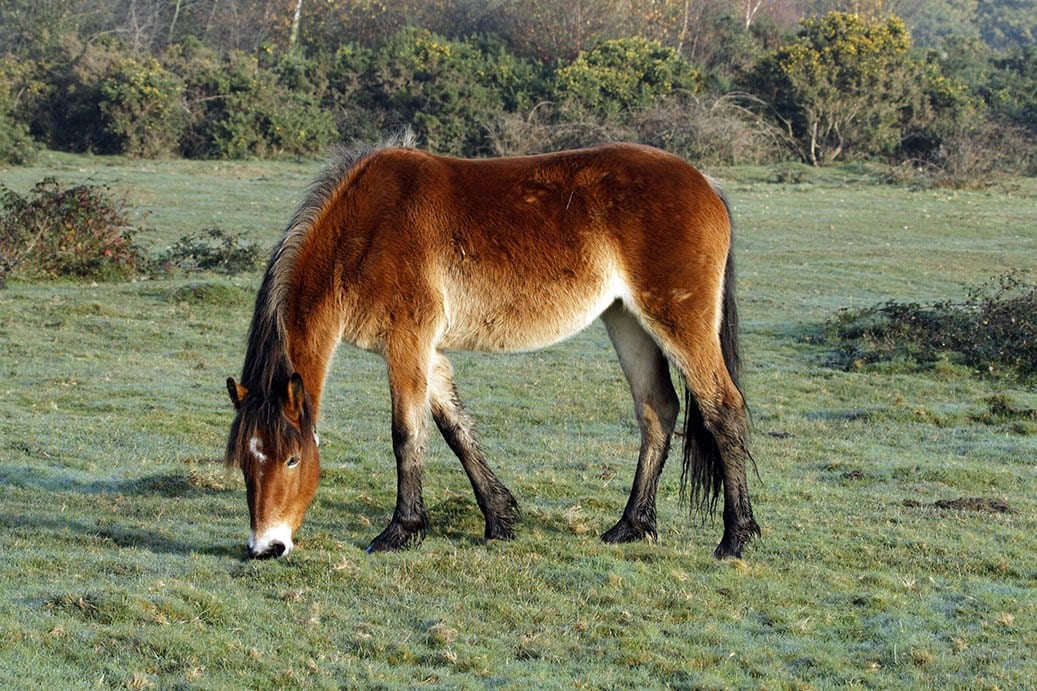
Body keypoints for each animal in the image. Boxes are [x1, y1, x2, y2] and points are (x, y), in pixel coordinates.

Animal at [225, 140, 763, 560]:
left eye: (293, 460)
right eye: (246, 464)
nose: (265, 547)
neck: (365, 230)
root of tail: (705, 181)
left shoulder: (407, 345)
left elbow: (407, 435)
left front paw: (401, 530)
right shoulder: (429, 353)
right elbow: (455, 429)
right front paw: (500, 519)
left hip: (679, 323)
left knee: (723, 409)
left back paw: (735, 539)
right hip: (627, 321)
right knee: (658, 411)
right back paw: (631, 525)